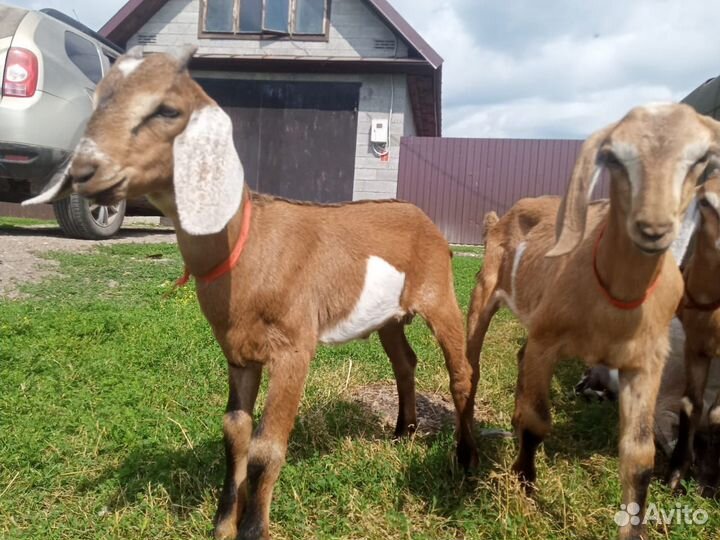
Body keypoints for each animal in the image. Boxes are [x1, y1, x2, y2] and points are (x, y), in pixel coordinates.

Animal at [25, 47, 478, 540]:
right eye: (97, 102)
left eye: (167, 110)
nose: (84, 171)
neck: (249, 245)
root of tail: (424, 218)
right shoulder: (239, 353)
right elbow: (235, 432)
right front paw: (224, 523)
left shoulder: (294, 348)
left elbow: (267, 446)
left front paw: (254, 528)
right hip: (389, 316)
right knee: (405, 362)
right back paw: (403, 432)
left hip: (439, 292)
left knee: (461, 371)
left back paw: (465, 460)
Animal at [465, 103, 720, 540]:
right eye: (615, 157)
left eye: (700, 158)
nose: (652, 227)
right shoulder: (548, 340)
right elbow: (538, 421)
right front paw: (525, 486)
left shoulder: (646, 363)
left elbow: (639, 457)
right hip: (486, 291)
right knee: (472, 365)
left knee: (520, 356)